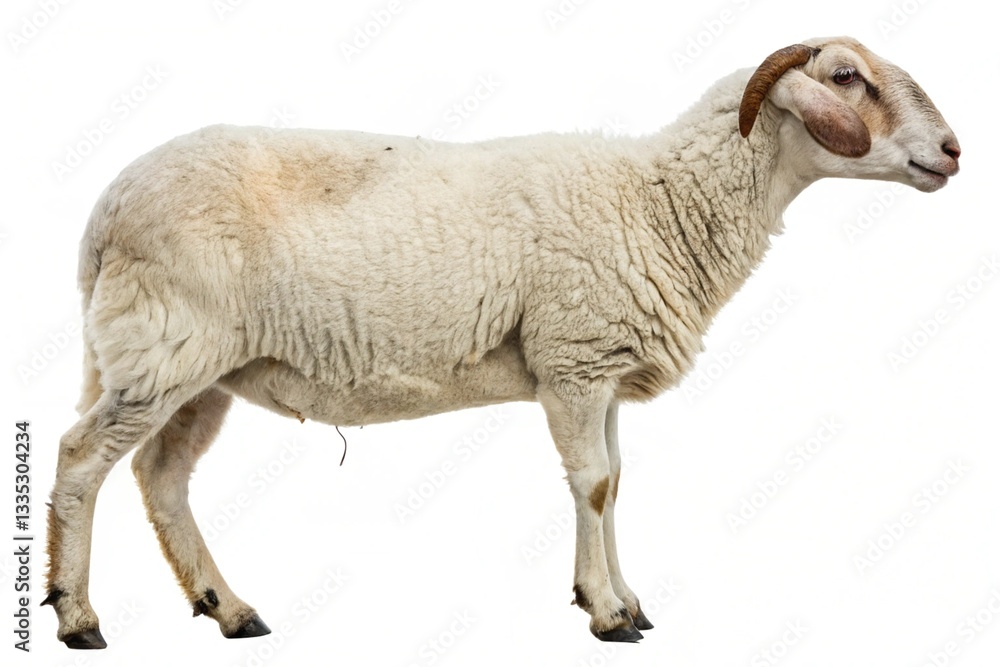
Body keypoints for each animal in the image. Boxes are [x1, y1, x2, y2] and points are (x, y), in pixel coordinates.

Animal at [44, 36, 960, 648]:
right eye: (846, 77)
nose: (953, 150)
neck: (660, 200)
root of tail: (102, 215)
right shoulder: (573, 360)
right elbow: (593, 485)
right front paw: (606, 611)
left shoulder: (600, 367)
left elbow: (617, 482)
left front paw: (627, 597)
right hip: (163, 348)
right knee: (81, 459)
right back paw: (79, 615)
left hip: (196, 368)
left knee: (162, 478)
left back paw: (227, 608)